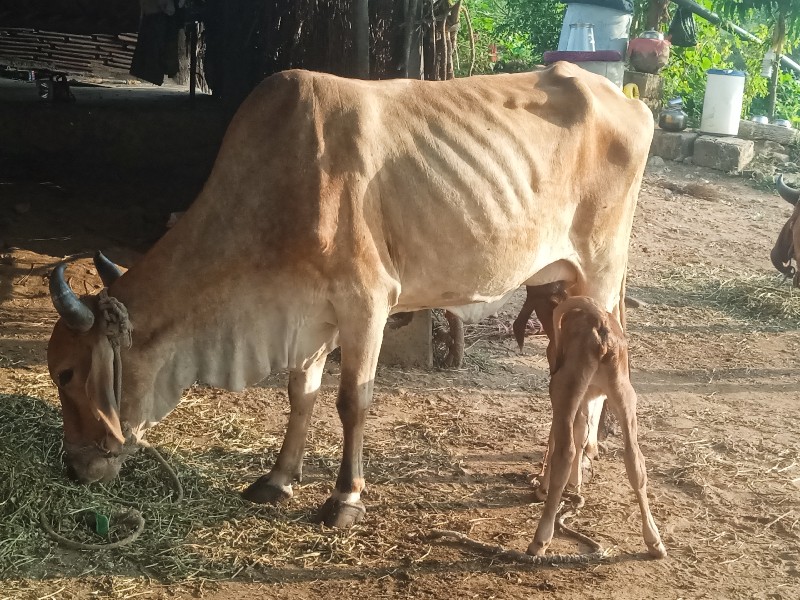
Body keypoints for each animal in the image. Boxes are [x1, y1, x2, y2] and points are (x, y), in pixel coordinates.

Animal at [47, 65, 652, 540]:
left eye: (68, 373)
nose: (75, 469)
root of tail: (627, 99)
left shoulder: (367, 303)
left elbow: (351, 402)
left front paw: (344, 499)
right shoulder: (310, 315)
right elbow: (302, 393)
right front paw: (279, 478)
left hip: (599, 275)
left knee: (588, 391)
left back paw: (572, 481)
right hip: (559, 289)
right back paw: (553, 475)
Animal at [528, 298, 664, 560]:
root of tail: (600, 330)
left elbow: (560, 437)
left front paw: (544, 488)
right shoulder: (589, 396)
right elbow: (583, 431)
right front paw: (576, 485)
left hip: (565, 386)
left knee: (564, 451)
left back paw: (539, 541)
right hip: (623, 393)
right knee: (635, 457)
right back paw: (655, 542)